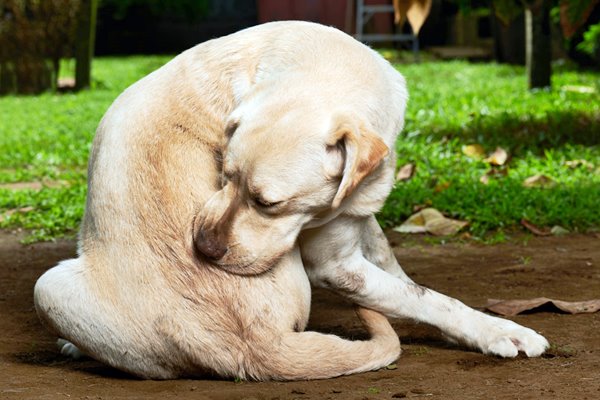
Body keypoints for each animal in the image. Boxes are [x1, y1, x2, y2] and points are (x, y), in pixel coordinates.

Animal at [34, 21, 548, 382]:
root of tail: (255, 349)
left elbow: (407, 282)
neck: (323, 63)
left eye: (269, 204)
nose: (203, 249)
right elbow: (427, 297)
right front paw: (501, 330)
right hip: (46, 286)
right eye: (223, 175)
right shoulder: (335, 266)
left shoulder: (357, 221)